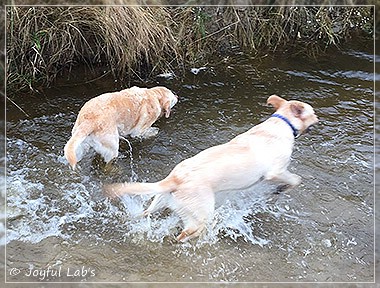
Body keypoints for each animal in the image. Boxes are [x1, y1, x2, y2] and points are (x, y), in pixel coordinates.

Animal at [103, 95, 318, 242]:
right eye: (313, 112)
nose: (319, 118)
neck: (282, 123)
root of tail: (175, 179)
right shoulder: (276, 171)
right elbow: (295, 179)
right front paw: (282, 188)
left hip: (160, 201)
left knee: (145, 213)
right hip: (201, 216)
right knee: (185, 234)